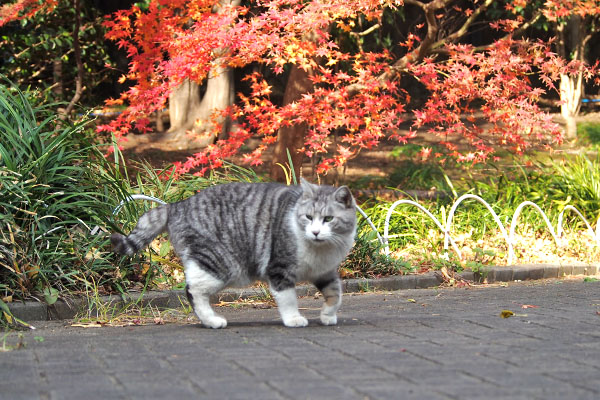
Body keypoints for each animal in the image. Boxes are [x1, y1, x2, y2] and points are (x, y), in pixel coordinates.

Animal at [109, 179, 354, 328]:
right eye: (308, 217)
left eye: (328, 219)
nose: (315, 232)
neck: (320, 250)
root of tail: (177, 205)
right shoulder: (279, 269)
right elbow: (288, 299)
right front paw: (294, 319)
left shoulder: (325, 272)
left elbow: (336, 294)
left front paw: (328, 315)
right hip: (220, 264)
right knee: (192, 290)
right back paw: (212, 321)